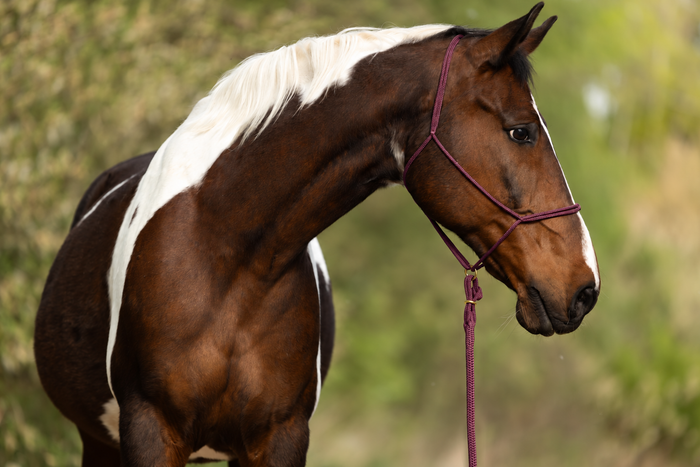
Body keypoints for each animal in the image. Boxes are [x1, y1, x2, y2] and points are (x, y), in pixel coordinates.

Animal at [34, 3, 600, 466]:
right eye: (521, 131)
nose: (585, 288)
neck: (226, 257)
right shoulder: (149, 431)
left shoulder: (280, 438)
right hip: (99, 442)